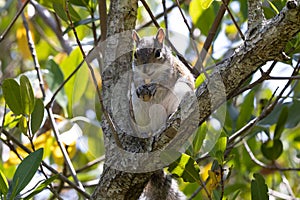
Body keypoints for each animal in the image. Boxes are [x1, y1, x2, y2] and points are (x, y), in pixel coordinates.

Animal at [131, 28, 195, 200]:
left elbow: (164, 83)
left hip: (181, 92)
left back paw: (171, 116)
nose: (146, 69)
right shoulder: (136, 76)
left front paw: (155, 86)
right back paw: (148, 135)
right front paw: (141, 87)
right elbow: (137, 83)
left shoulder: (171, 72)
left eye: (158, 53)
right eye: (135, 54)